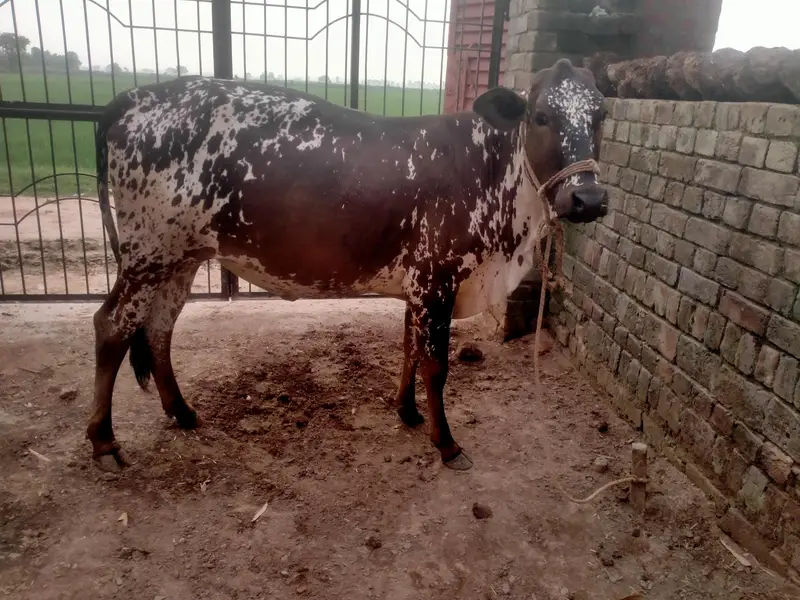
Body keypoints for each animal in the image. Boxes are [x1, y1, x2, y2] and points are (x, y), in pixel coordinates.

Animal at [88, 58, 608, 473]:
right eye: (541, 116)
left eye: (600, 115)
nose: (589, 198)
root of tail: (130, 99)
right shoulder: (436, 281)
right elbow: (435, 365)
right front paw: (446, 443)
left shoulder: (418, 287)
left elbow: (410, 349)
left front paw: (408, 412)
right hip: (147, 253)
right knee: (112, 326)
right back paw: (104, 442)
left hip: (180, 257)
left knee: (158, 328)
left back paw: (182, 411)